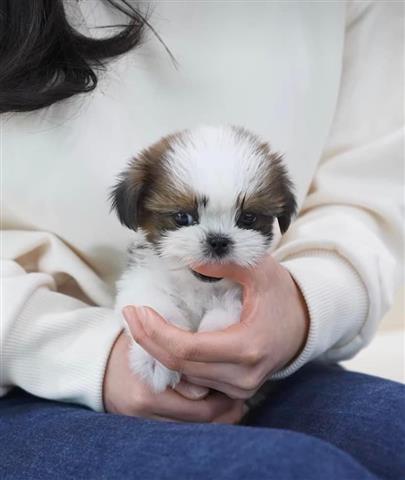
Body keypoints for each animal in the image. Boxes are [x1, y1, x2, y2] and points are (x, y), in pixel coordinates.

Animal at [109, 125, 296, 392]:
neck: (196, 286)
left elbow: (228, 304)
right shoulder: (142, 279)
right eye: (182, 217)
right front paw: (155, 359)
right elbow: (154, 307)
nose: (218, 240)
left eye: (248, 218)